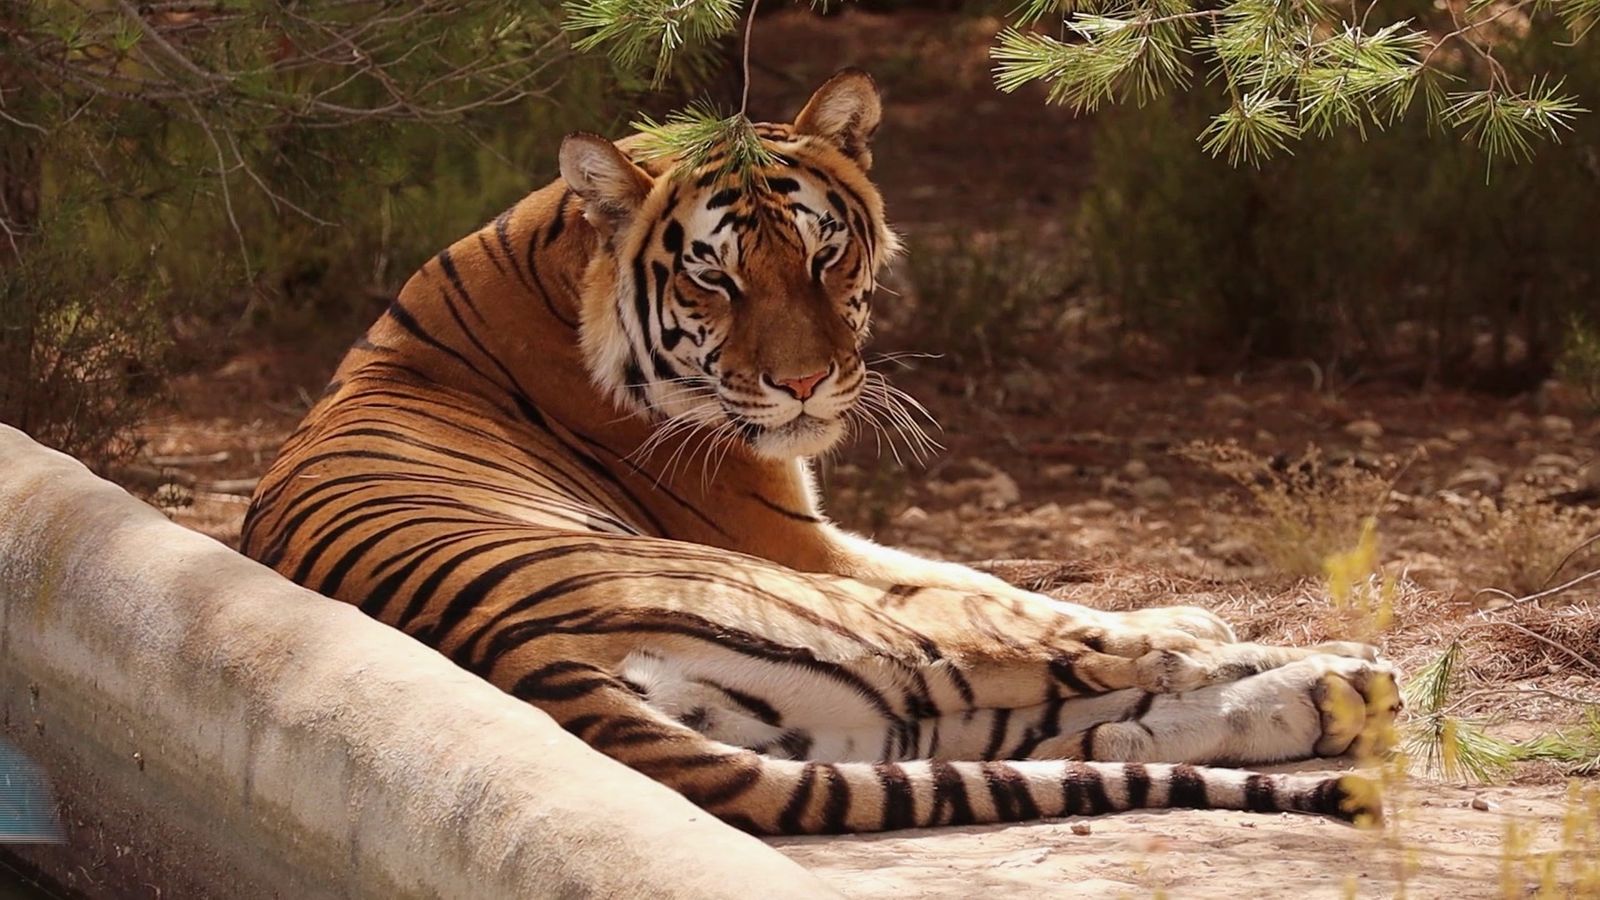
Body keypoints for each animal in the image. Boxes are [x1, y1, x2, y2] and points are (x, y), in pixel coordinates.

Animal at [241, 70, 1400, 836]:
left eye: (822, 252)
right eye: (713, 277)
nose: (803, 385)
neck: (557, 266)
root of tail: (529, 662)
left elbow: (986, 575)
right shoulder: (798, 542)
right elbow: (1004, 590)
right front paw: (1191, 617)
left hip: (853, 722)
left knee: (1073, 730)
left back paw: (1330, 698)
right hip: (821, 618)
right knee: (1065, 672)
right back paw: (1325, 670)